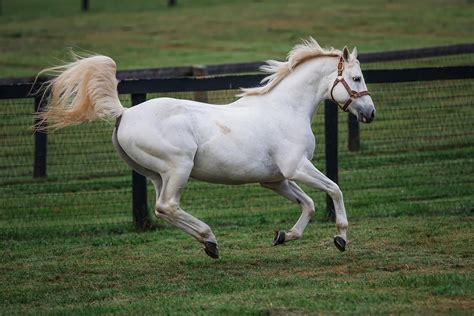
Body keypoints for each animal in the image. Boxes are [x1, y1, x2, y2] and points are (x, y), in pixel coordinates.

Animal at [38, 38, 374, 258]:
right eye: (357, 77)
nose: (370, 113)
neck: (285, 109)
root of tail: (125, 113)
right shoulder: (297, 168)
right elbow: (334, 190)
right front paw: (341, 238)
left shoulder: (274, 179)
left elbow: (309, 204)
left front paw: (284, 236)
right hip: (178, 167)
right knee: (167, 206)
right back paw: (210, 238)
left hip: (157, 174)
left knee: (163, 209)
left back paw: (209, 244)